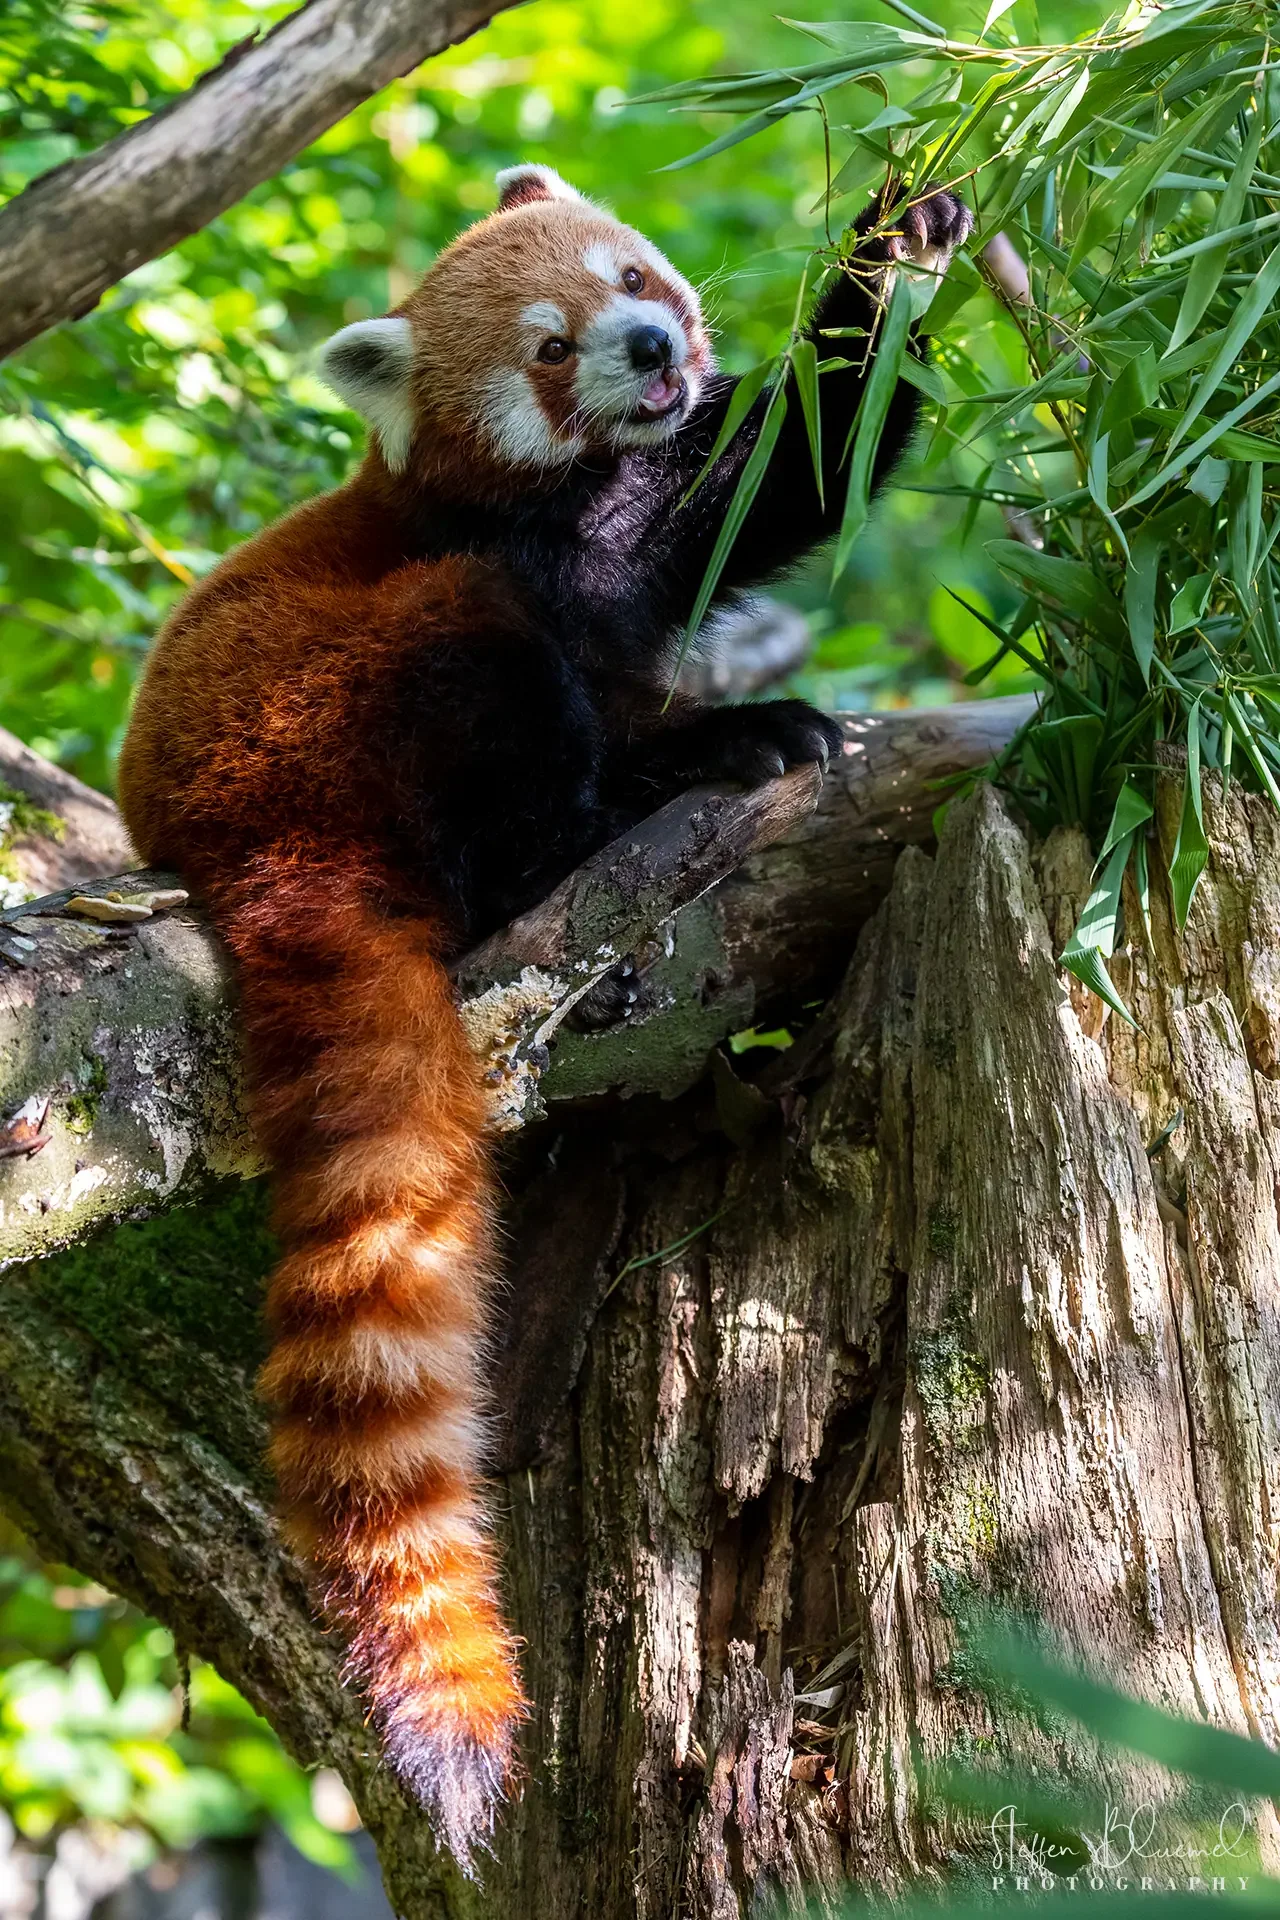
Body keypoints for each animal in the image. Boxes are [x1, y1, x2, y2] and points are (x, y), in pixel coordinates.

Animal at [117, 162, 971, 1868]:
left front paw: (906, 245)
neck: (568, 492)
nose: (651, 349)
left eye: (633, 278)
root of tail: (239, 851)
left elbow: (793, 465)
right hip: (341, 708)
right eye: (552, 348)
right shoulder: (531, 550)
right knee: (496, 716)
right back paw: (658, 781)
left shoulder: (667, 512)